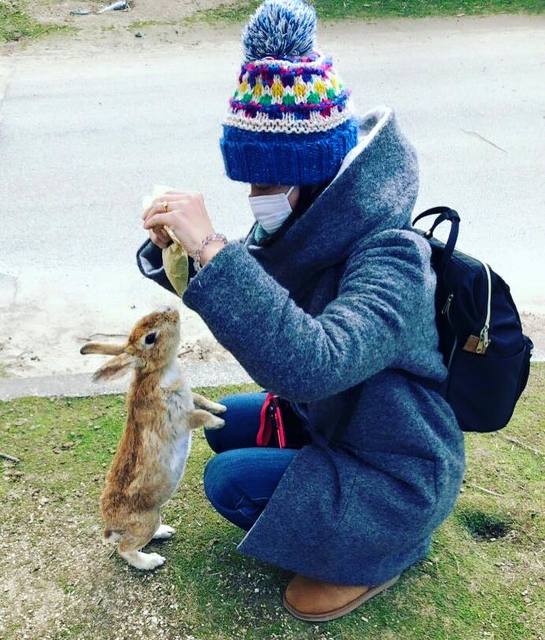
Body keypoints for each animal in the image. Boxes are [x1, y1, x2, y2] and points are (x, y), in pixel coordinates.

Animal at [80, 308, 225, 572]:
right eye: (150, 338)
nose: (172, 310)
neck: (157, 371)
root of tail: (111, 526)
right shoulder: (177, 418)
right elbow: (197, 416)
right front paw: (218, 423)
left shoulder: (190, 400)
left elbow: (201, 399)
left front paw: (221, 408)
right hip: (146, 520)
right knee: (125, 548)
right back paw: (151, 561)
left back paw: (165, 531)